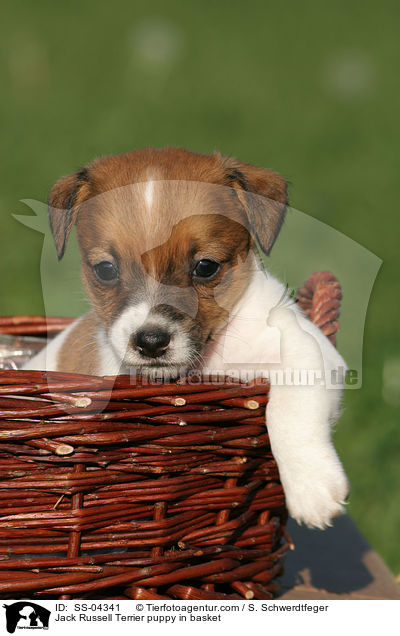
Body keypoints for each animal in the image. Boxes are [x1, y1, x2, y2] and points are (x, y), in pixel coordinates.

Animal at [25, 147, 350, 528]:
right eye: (105, 270)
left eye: (206, 267)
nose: (151, 341)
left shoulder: (306, 348)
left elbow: (291, 411)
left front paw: (311, 487)